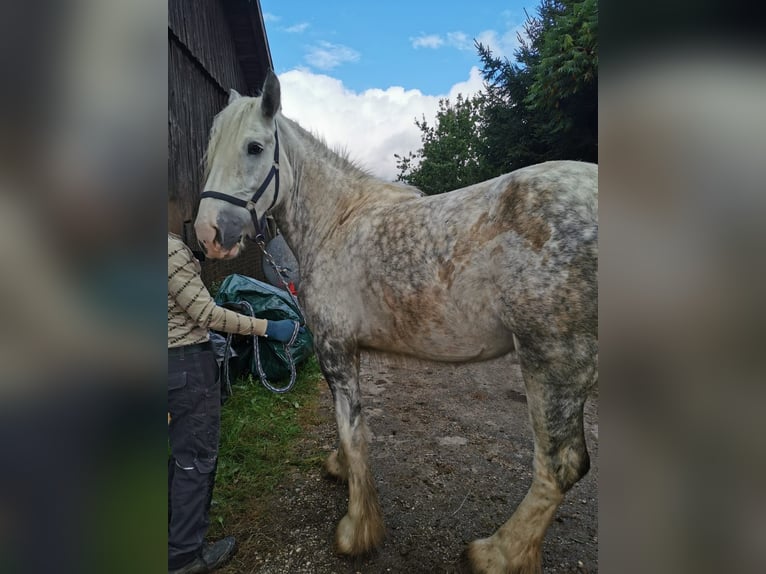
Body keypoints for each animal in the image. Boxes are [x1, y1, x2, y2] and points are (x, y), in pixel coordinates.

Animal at [194, 70, 598, 574]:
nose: (209, 234)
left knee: (560, 465)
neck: (337, 222)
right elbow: (348, 426)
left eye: (253, 147)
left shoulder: (335, 348)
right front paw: (340, 470)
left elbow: (352, 431)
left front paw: (357, 530)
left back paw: (497, 553)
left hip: (554, 360)